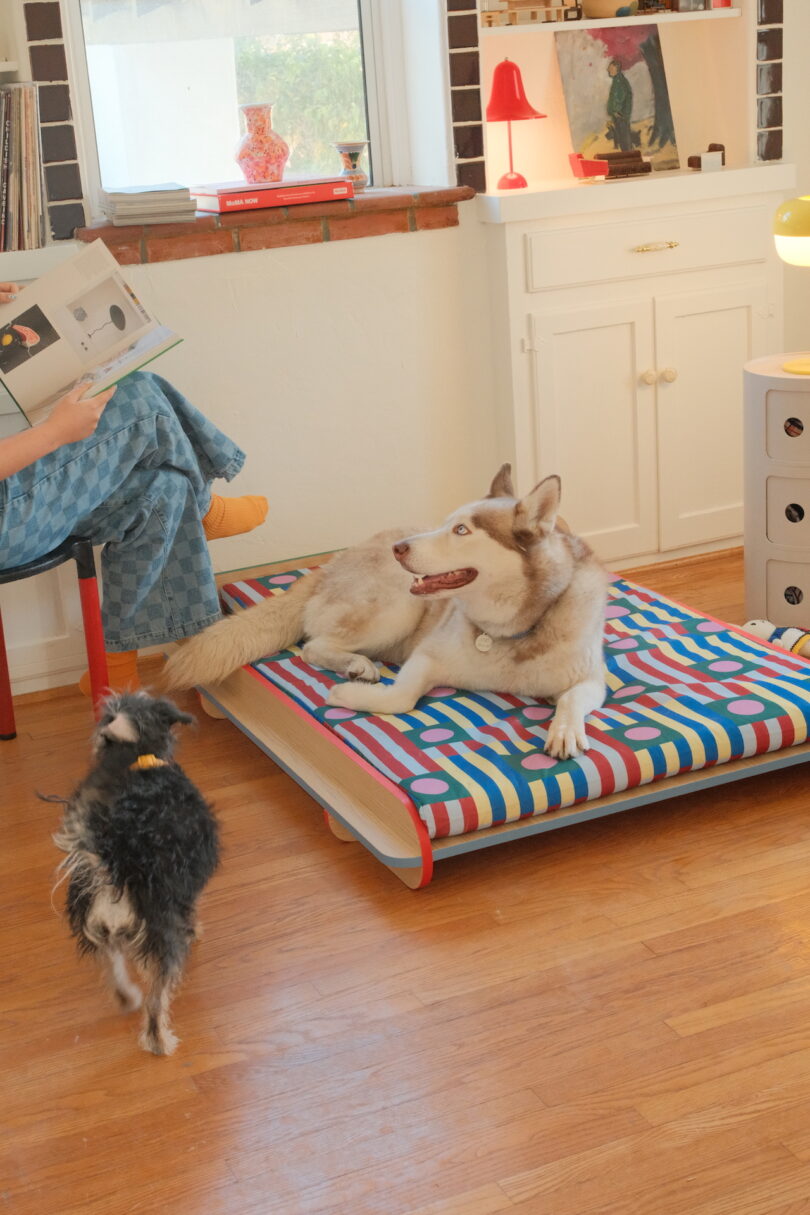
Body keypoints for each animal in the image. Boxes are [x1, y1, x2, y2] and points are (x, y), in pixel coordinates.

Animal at [52, 694, 219, 1054]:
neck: (142, 761)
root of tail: (113, 868)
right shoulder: (185, 890)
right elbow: (192, 912)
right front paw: (195, 930)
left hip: (99, 928)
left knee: (112, 967)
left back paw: (126, 998)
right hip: (161, 934)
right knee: (157, 998)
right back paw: (159, 1040)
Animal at [165, 466, 607, 758]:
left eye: (461, 530)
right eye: (447, 523)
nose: (401, 549)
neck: (509, 629)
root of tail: (332, 561)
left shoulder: (592, 679)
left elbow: (572, 699)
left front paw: (565, 730)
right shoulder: (426, 656)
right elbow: (401, 698)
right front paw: (348, 694)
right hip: (398, 607)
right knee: (313, 646)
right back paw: (355, 665)